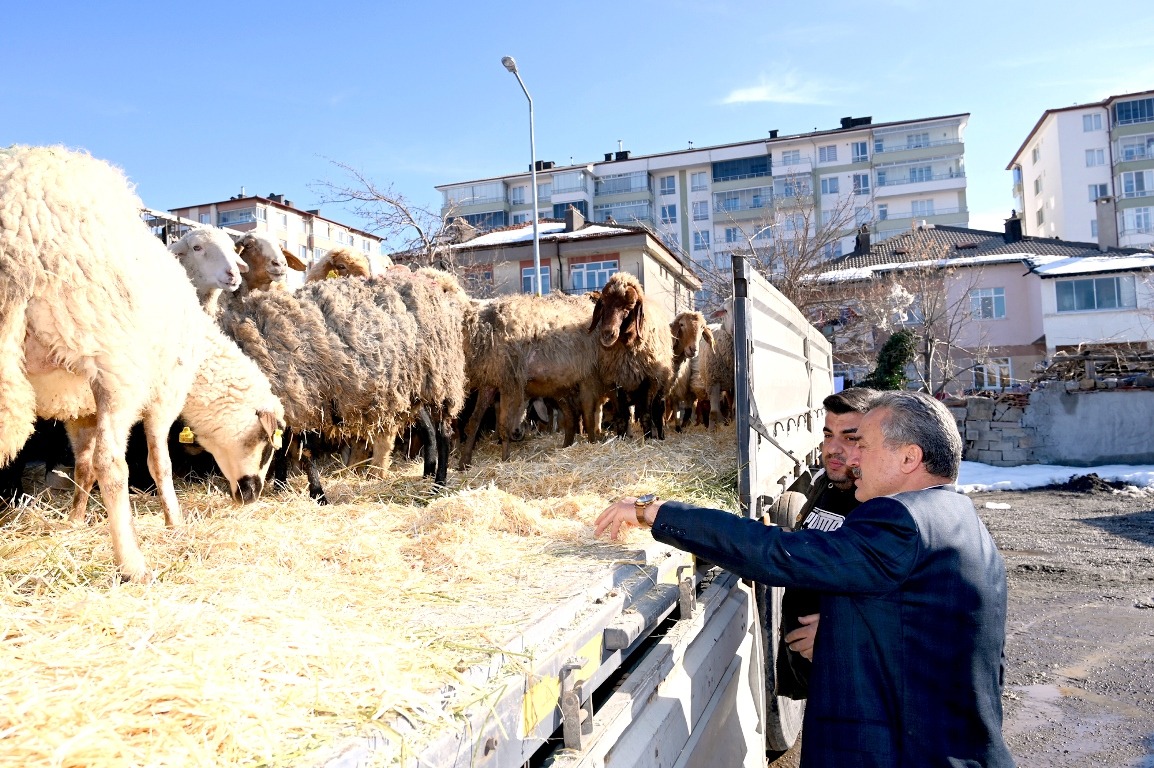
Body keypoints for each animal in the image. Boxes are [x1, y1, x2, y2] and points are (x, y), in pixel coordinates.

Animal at [0, 145, 286, 581]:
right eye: (267, 445)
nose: (251, 496)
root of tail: (18, 219)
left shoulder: (78, 405)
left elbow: (82, 466)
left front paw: (75, 521)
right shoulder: (164, 393)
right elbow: (158, 463)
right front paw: (174, 523)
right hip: (115, 367)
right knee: (113, 466)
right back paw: (132, 563)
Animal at [586, 270, 673, 435]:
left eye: (629, 307)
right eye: (604, 303)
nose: (607, 334)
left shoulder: (649, 380)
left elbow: (646, 416)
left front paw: (649, 437)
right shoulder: (615, 383)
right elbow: (621, 417)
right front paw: (622, 437)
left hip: (661, 385)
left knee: (658, 412)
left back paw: (660, 436)